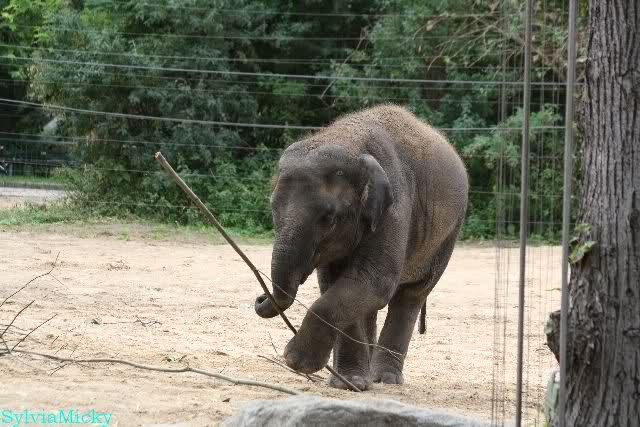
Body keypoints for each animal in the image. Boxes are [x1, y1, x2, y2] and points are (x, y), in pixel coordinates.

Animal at [254, 104, 469, 391]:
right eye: (272, 208)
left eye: (329, 218)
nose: (260, 298)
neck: (347, 138)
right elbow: (337, 283)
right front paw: (348, 384)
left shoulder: (394, 209)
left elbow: (374, 281)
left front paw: (296, 360)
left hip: (449, 233)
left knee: (411, 294)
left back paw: (386, 379)